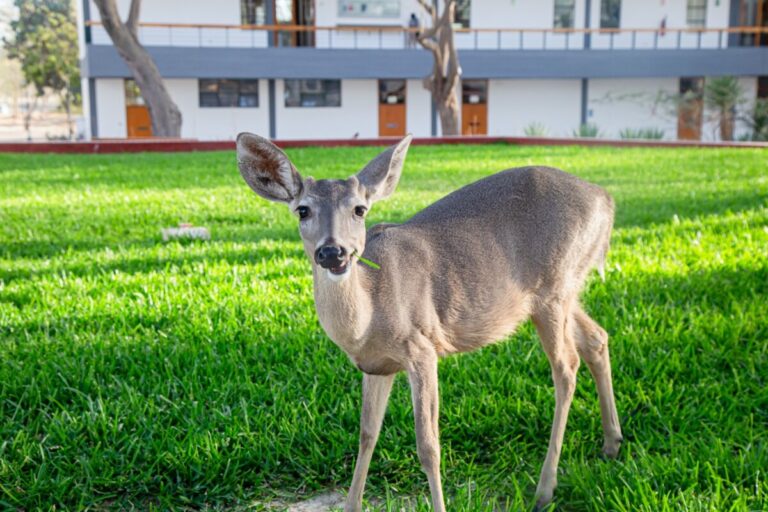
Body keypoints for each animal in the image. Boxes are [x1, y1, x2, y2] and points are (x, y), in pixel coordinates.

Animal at [236, 131, 624, 508]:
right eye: (302, 210)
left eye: (360, 209)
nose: (333, 252)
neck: (369, 316)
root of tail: (606, 199)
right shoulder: (376, 365)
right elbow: (366, 434)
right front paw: (351, 505)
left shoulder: (421, 348)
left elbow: (428, 447)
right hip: (564, 290)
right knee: (596, 338)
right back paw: (612, 443)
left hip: (552, 290)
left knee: (566, 366)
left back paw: (545, 490)